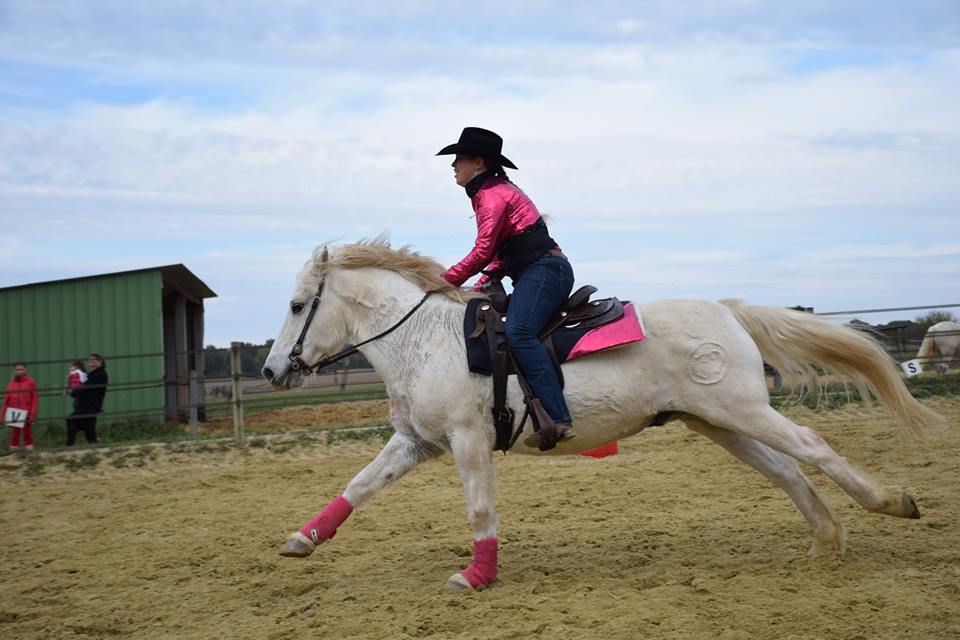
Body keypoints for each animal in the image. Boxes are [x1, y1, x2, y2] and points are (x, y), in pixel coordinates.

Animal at [260, 240, 944, 592]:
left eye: (296, 305)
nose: (269, 371)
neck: (425, 338)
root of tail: (725, 309)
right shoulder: (415, 442)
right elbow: (358, 486)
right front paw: (302, 539)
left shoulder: (467, 440)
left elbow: (481, 510)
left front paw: (476, 575)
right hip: (718, 422)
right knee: (787, 471)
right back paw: (824, 541)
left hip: (743, 411)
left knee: (811, 446)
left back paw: (891, 503)